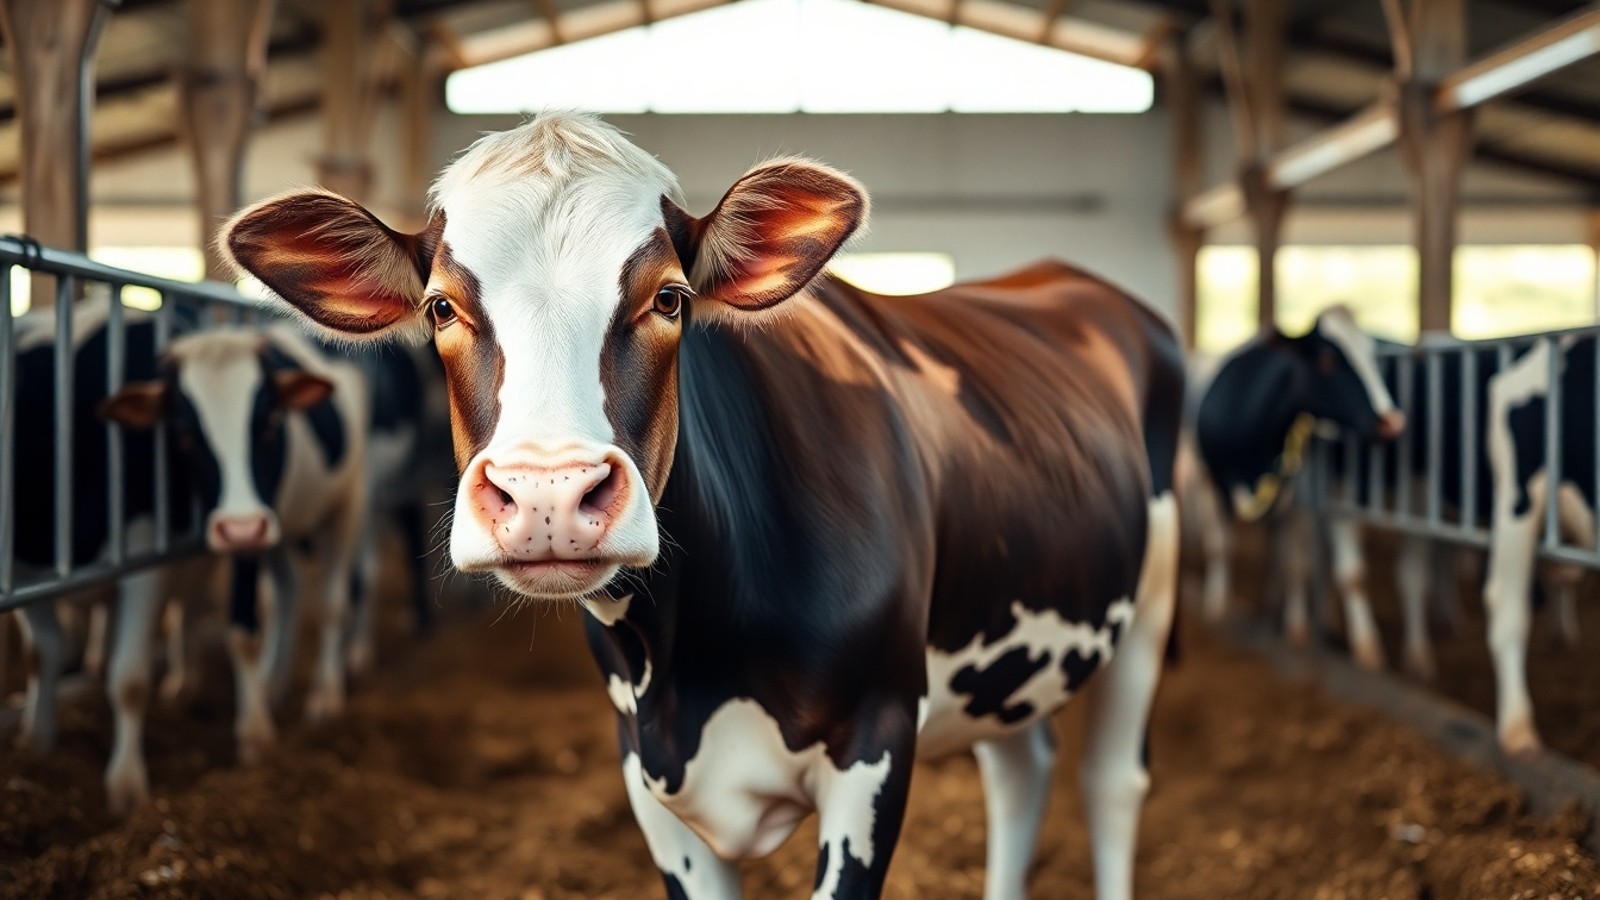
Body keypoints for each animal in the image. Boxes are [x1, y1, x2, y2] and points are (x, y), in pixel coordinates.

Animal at [100, 324, 371, 809]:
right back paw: (275, 684)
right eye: (184, 435)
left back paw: (324, 695)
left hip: (346, 504)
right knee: (290, 593)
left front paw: (255, 736)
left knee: (331, 604)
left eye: (270, 424)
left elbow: (243, 632)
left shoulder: (255, 540)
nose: (241, 527)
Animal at [222, 112, 1183, 900]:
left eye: (670, 297)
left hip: (1151, 596)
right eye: (441, 307)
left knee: (1111, 784)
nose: (548, 494)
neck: (691, 662)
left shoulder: (876, 743)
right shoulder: (645, 773)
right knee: (1021, 768)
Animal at [1192, 307, 1405, 667]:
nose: (1392, 421)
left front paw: (1299, 632)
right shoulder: (1213, 483)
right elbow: (1220, 547)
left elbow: (1301, 566)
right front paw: (1215, 608)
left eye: (1372, 356)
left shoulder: (1298, 501)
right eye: (1327, 360)